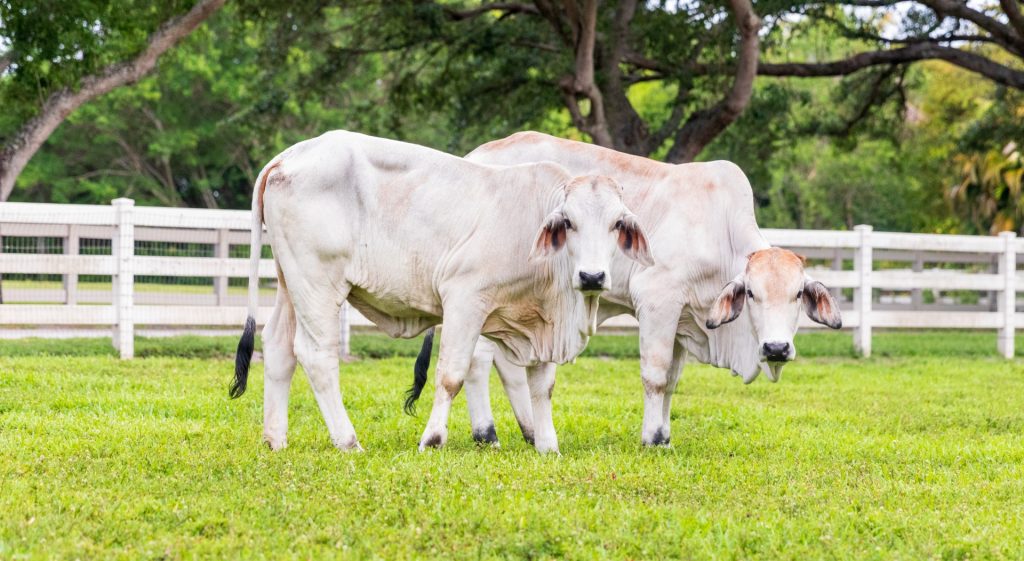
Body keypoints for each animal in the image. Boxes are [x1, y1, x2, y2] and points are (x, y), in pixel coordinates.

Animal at [230, 131, 654, 454]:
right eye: (568, 222)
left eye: (618, 224)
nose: (592, 276)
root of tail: (289, 156)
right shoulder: (464, 298)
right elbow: (451, 375)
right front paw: (432, 439)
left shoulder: (542, 322)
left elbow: (542, 385)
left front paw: (548, 446)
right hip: (318, 282)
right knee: (316, 355)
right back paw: (348, 441)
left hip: (289, 281)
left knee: (279, 346)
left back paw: (275, 440)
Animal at [407, 131, 842, 448]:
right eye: (751, 293)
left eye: (798, 295)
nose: (776, 348)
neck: (719, 230)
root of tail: (477, 154)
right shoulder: (658, 299)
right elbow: (655, 375)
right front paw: (652, 438)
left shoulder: (683, 319)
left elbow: (673, 381)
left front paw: (664, 436)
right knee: (480, 361)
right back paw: (488, 434)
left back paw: (530, 432)